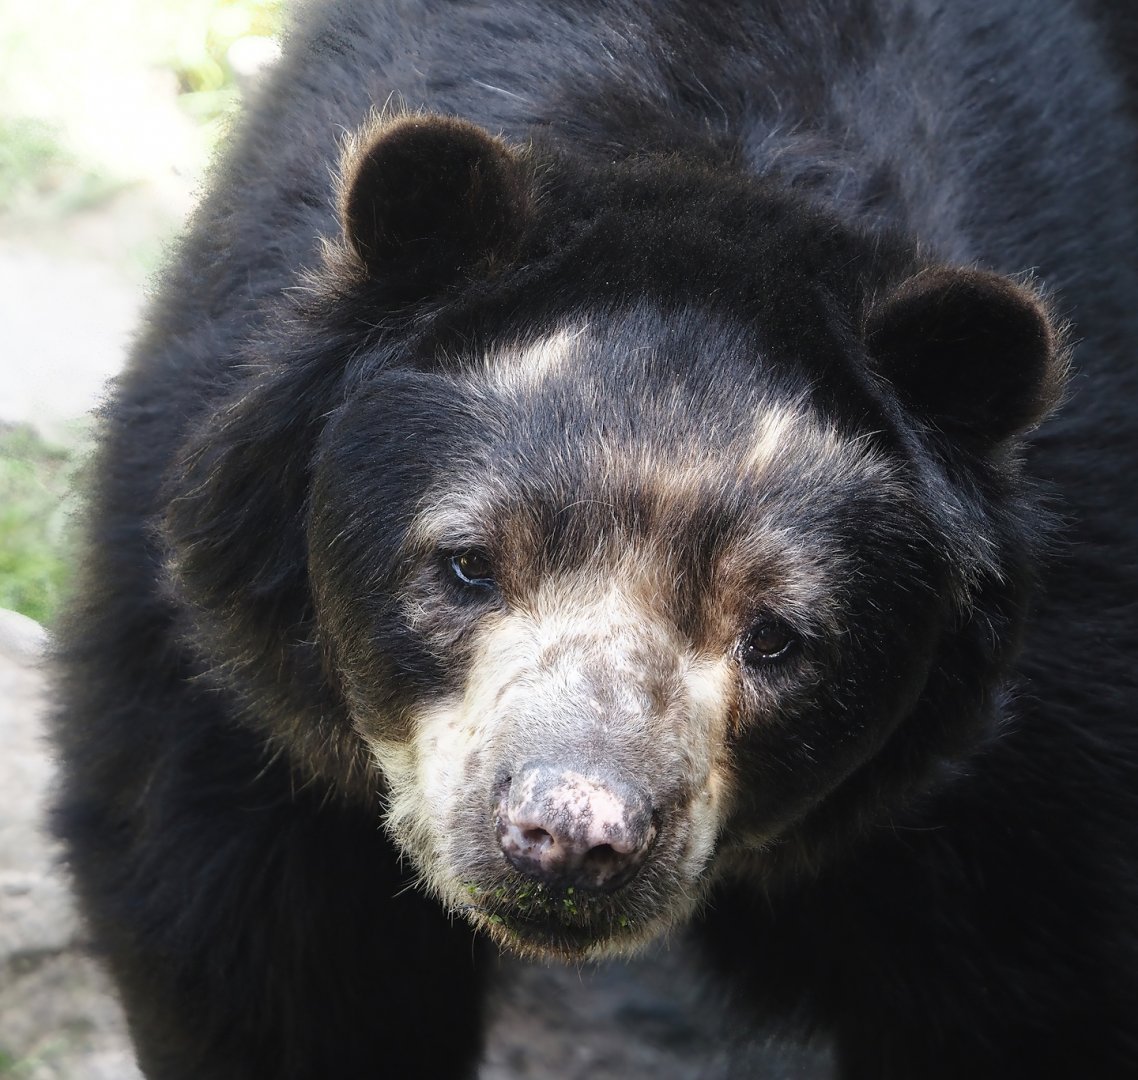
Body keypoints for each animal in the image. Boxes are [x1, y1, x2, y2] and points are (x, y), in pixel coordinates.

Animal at [50, 0, 1138, 1077]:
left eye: (776, 638)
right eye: (467, 566)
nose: (572, 837)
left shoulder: (1039, 732)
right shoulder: (221, 668)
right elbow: (255, 944)